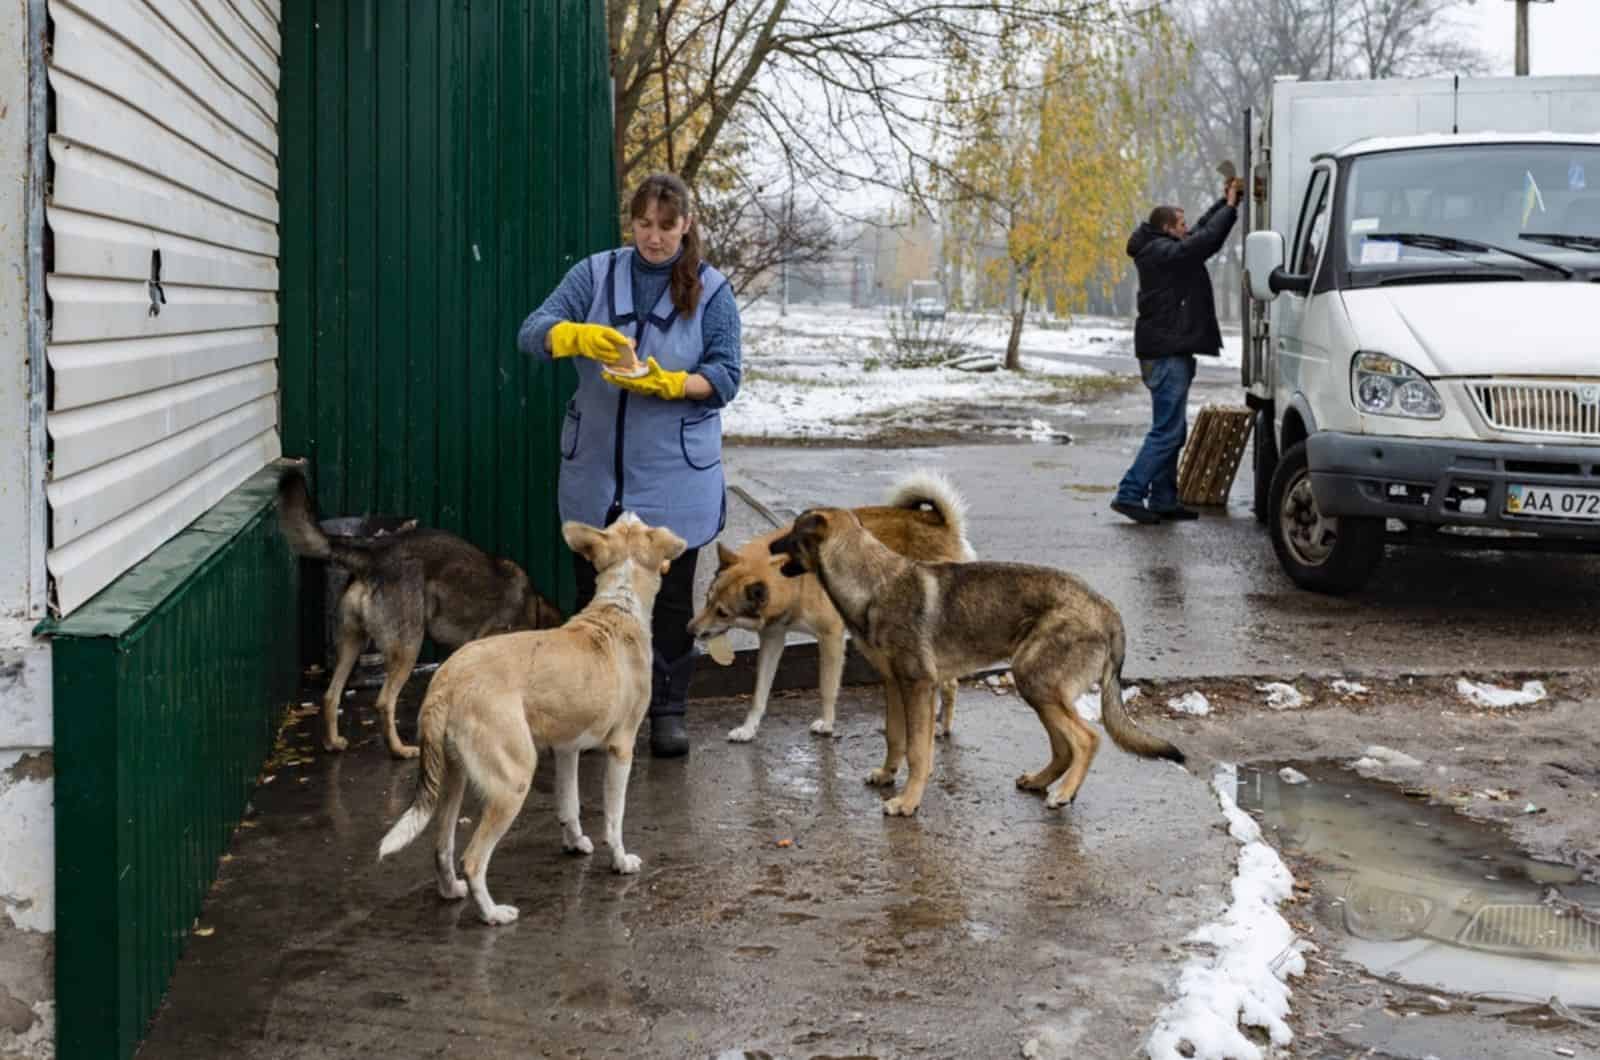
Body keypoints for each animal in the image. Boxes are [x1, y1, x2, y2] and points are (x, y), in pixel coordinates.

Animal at [280, 470, 563, 758]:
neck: (533, 609)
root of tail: (374, 553)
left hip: (352, 644)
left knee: (331, 694)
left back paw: (332, 742)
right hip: (408, 647)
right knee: (383, 701)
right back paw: (399, 750)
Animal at [377, 518, 684, 928]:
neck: (619, 605)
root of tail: (447, 681)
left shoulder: (568, 749)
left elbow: (569, 804)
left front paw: (575, 843)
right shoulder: (621, 748)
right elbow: (614, 817)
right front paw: (620, 861)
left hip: (454, 779)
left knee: (441, 845)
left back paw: (451, 890)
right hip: (513, 781)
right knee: (472, 859)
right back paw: (492, 913)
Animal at [768, 512, 1184, 816]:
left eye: (791, 532)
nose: (770, 544)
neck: (872, 584)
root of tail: (1107, 608)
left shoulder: (918, 687)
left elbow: (918, 751)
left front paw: (908, 802)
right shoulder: (894, 685)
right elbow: (895, 737)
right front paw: (887, 775)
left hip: (1035, 682)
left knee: (1087, 739)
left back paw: (1063, 793)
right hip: (1037, 689)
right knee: (1063, 747)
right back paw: (1040, 781)